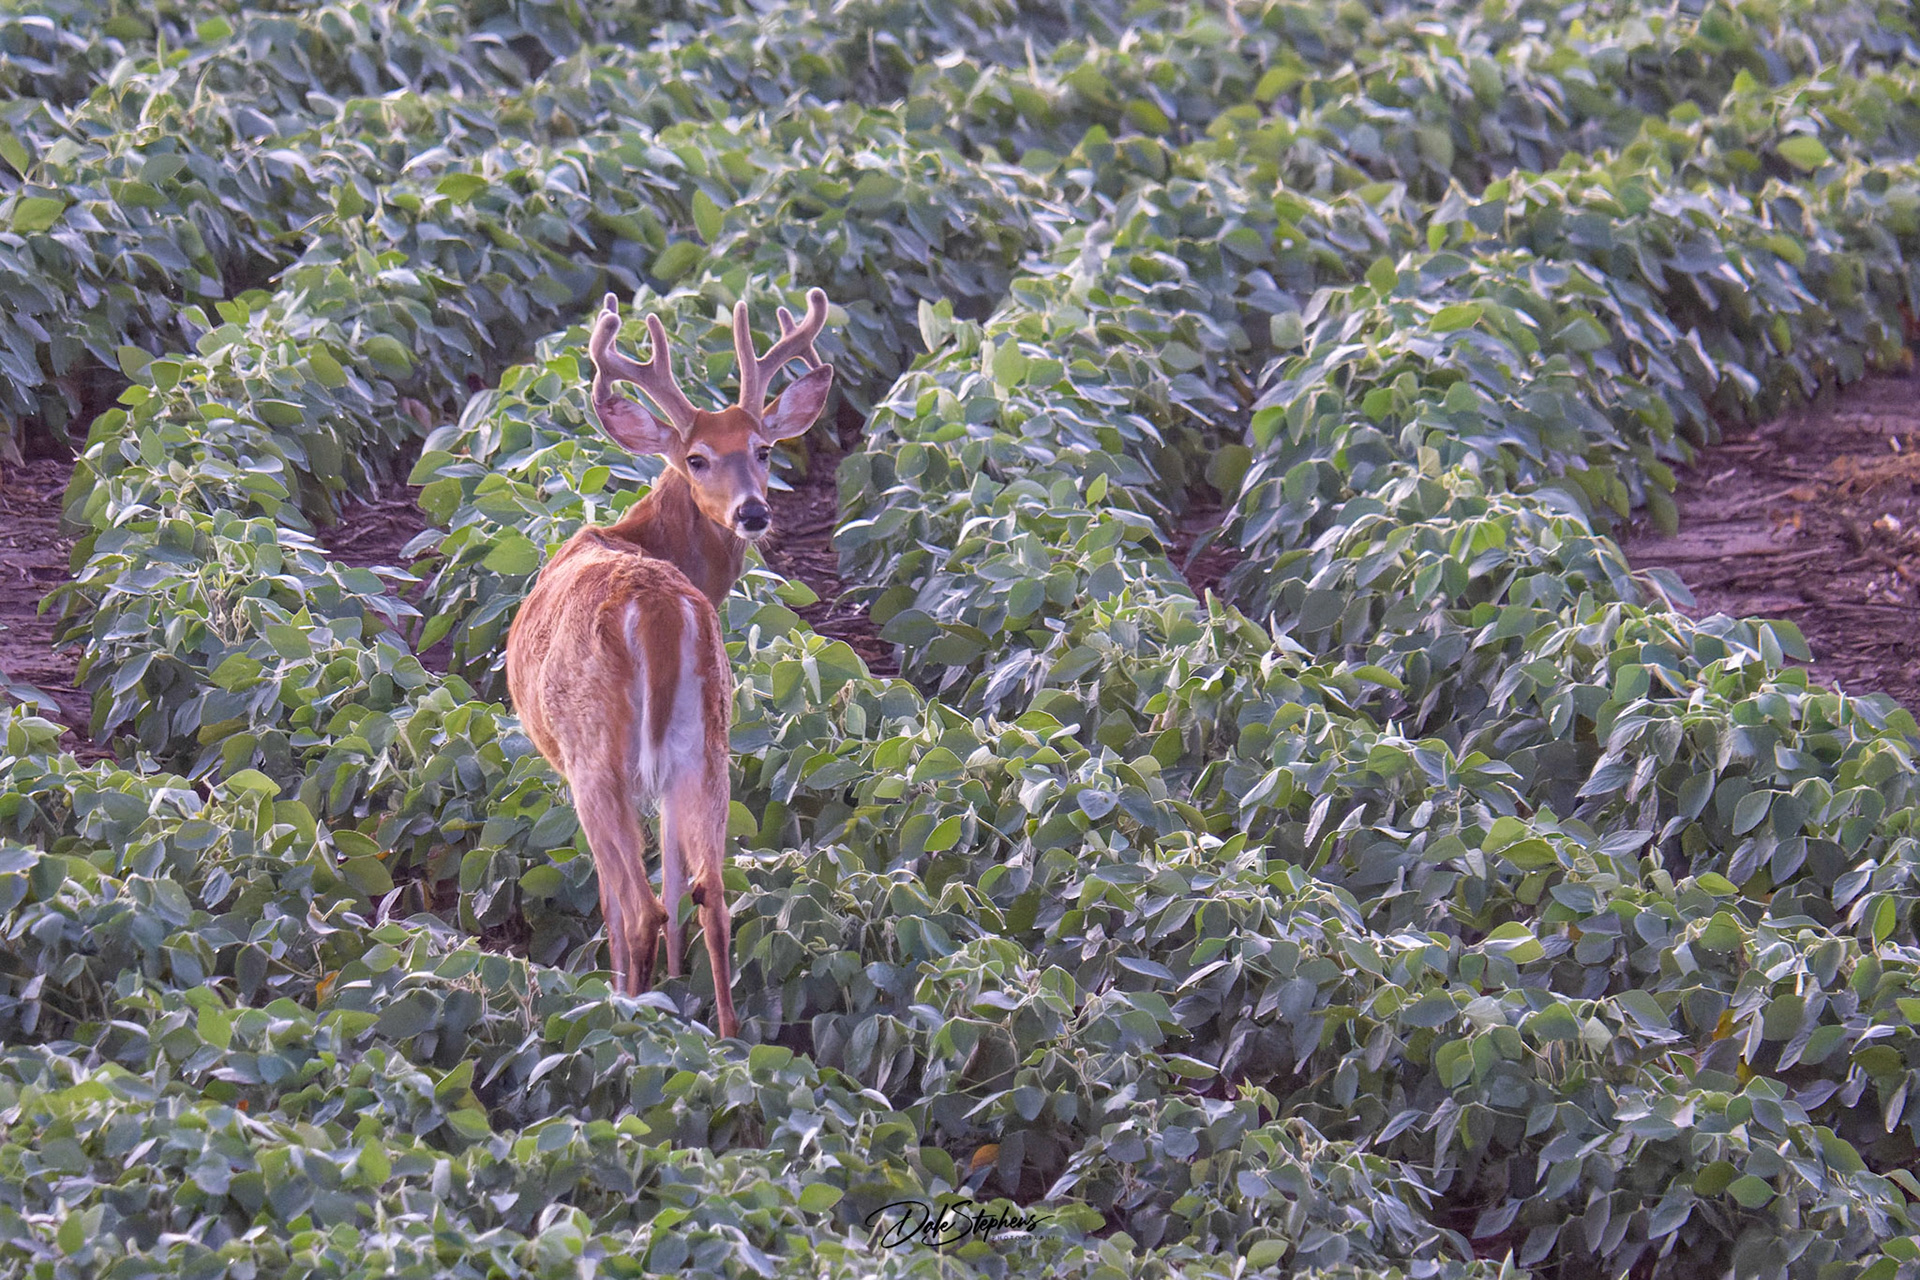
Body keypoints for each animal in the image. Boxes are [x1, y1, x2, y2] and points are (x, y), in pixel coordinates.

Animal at [504, 287, 836, 1039]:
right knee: (713, 897)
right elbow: (684, 879)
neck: (638, 540)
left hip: (597, 756)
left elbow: (614, 901)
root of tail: (656, 610)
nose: (753, 512)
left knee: (639, 909)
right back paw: (726, 1037)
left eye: (763, 450)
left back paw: (628, 1017)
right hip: (708, 746)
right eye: (698, 458)